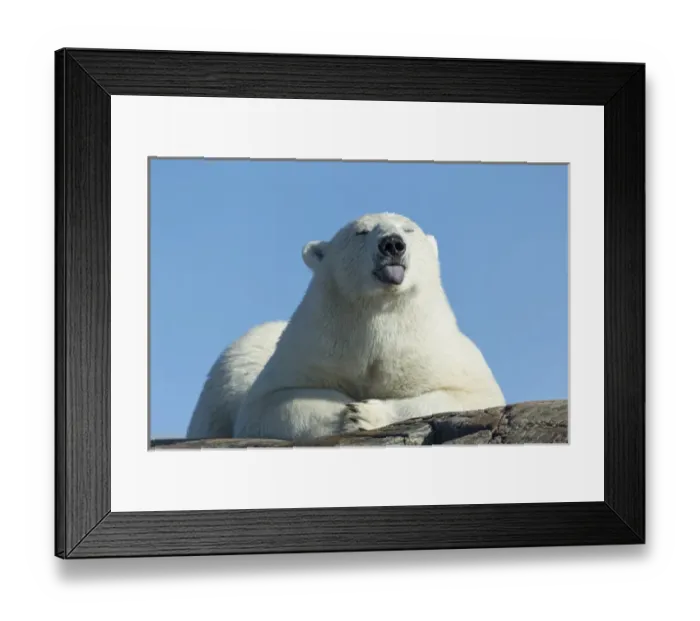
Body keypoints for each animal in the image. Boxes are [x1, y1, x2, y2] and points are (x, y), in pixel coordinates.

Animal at [185, 212, 506, 441]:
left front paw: (367, 414)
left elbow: (470, 396)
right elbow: (271, 402)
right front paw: (347, 414)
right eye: (361, 231)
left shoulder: (436, 354)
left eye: (408, 230)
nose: (392, 244)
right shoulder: (312, 349)